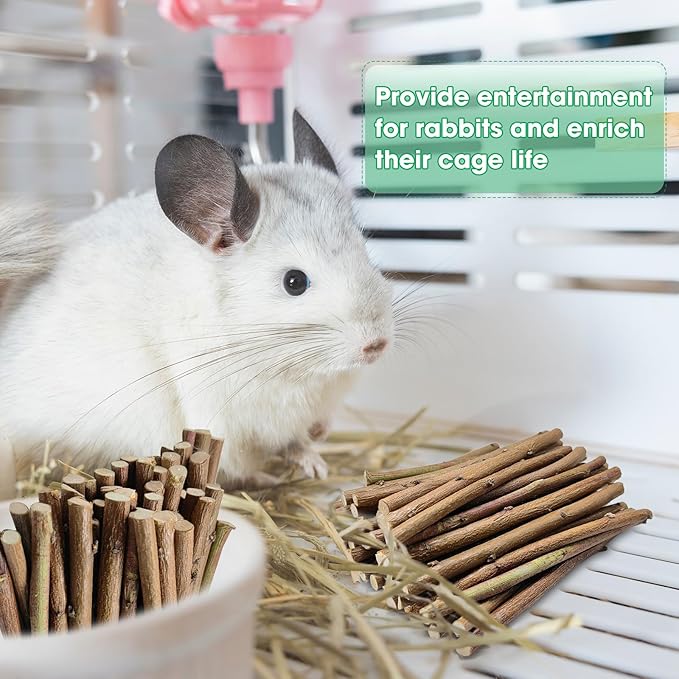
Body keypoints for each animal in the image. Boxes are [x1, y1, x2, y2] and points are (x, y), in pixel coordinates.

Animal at [0, 111, 393, 486]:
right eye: (294, 282)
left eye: (367, 255)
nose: (376, 345)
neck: (293, 368)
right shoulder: (221, 420)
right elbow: (232, 467)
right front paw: (264, 478)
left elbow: (299, 441)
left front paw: (316, 462)